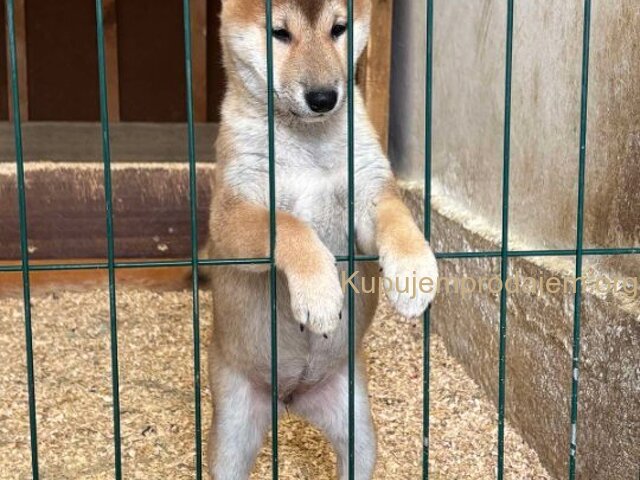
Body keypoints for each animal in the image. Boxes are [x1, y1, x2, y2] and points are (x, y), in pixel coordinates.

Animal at [204, 0, 438, 478]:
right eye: (279, 33)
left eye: (339, 28)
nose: (324, 97)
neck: (305, 143)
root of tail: (289, 399)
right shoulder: (233, 216)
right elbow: (290, 226)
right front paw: (320, 291)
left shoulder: (367, 194)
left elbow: (397, 219)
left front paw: (413, 272)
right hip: (231, 435)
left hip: (358, 429)